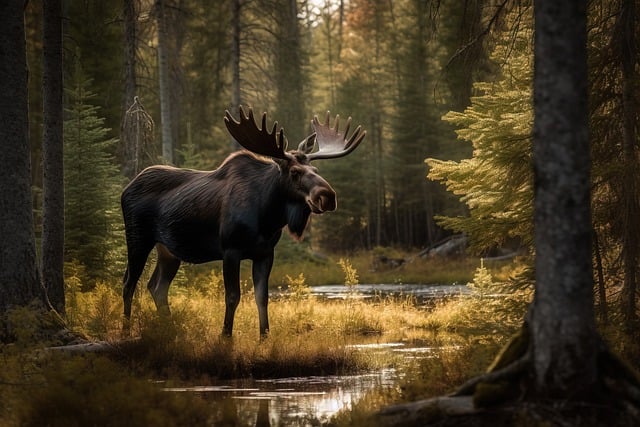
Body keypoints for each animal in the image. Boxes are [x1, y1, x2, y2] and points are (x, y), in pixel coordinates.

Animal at [120, 107, 364, 338]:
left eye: (315, 170)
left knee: (157, 287)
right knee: (128, 283)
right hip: (137, 238)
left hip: (168, 250)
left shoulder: (265, 253)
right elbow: (232, 296)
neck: (267, 218)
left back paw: (171, 331)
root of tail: (126, 189)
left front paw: (264, 337)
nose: (327, 196)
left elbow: (262, 297)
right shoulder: (230, 249)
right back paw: (126, 330)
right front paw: (226, 336)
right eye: (295, 172)